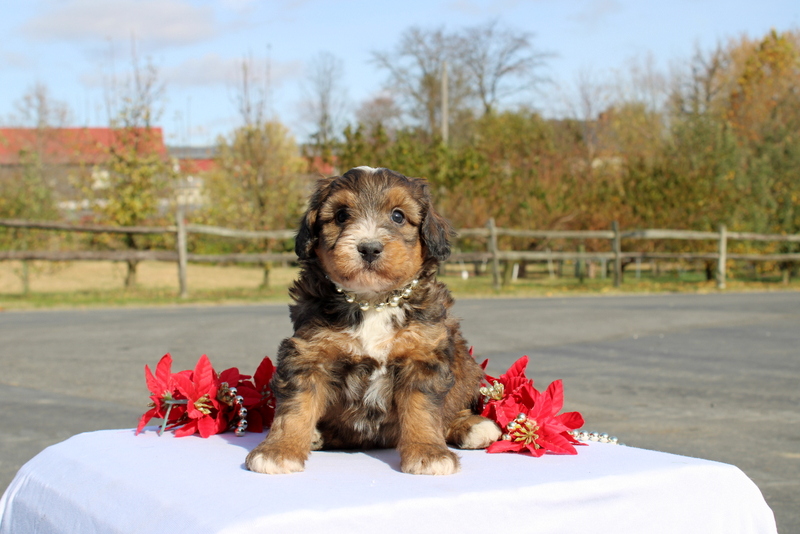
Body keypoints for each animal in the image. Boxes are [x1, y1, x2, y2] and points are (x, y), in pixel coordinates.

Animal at [247, 168, 504, 478]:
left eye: (398, 216)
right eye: (341, 215)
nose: (369, 248)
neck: (372, 302)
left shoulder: (422, 354)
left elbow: (423, 411)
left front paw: (428, 453)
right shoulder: (308, 354)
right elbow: (295, 408)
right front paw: (279, 450)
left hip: (467, 369)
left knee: (453, 409)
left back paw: (474, 426)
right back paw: (316, 435)